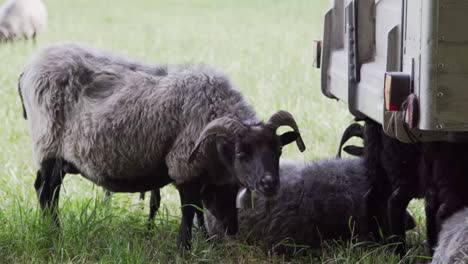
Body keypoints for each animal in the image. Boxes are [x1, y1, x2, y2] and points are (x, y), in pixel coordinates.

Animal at [18, 42, 306, 249]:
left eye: (279, 150)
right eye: (241, 152)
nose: (270, 183)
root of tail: (28, 68)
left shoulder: (203, 175)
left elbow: (200, 211)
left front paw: (206, 243)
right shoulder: (184, 166)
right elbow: (189, 211)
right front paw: (184, 248)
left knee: (47, 191)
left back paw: (51, 230)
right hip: (48, 146)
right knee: (46, 192)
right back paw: (54, 233)